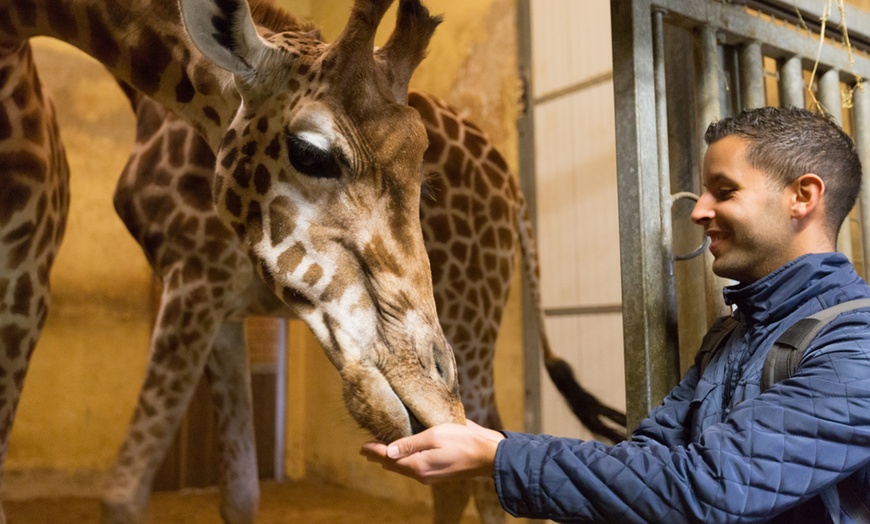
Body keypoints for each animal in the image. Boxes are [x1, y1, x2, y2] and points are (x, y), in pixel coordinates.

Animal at [0, 1, 474, 520]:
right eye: (310, 152)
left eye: (421, 179)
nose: (441, 408)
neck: (15, 30)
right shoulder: (198, 291)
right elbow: (228, 492)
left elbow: (133, 491)